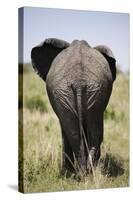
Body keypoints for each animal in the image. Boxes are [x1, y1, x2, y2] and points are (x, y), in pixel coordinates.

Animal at [30, 38, 116, 177]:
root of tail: (79, 81)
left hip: (77, 91)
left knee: (74, 132)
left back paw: (80, 173)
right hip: (92, 90)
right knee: (93, 131)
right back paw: (88, 172)